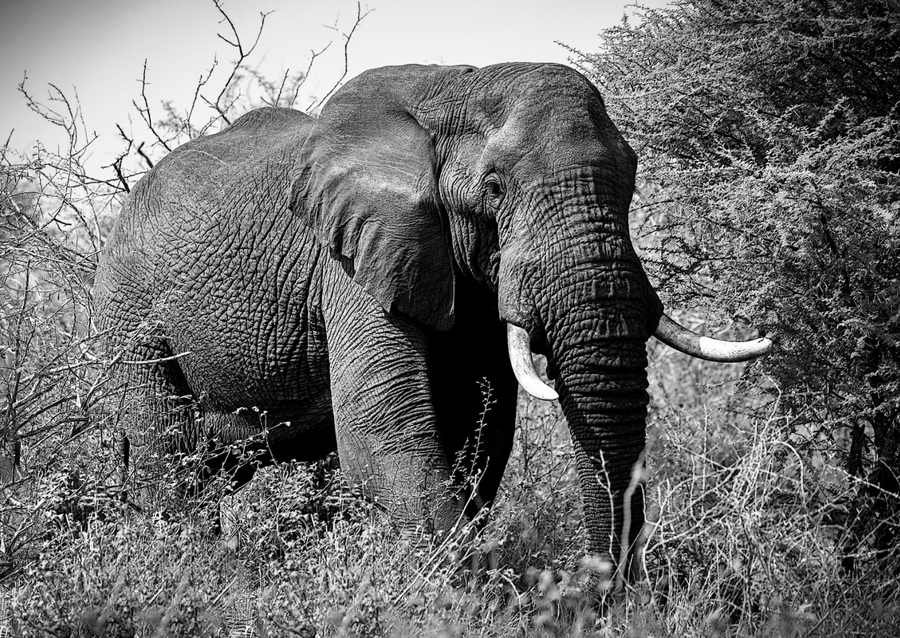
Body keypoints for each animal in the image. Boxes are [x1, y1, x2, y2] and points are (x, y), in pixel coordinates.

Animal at [93, 63, 770, 587]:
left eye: (631, 180)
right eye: (494, 188)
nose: (603, 595)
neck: (458, 86)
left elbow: (482, 428)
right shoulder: (353, 259)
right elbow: (384, 433)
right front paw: (474, 595)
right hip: (130, 315)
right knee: (167, 459)